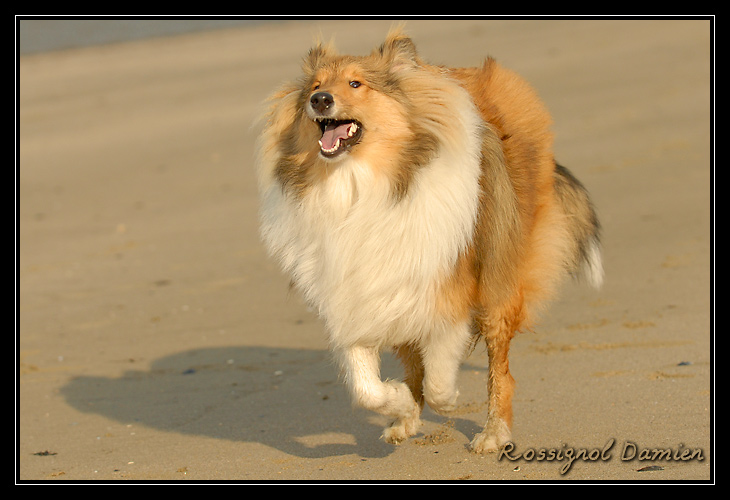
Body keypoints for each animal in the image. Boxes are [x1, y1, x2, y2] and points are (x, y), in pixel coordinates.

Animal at [253, 28, 600, 454]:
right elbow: (367, 387)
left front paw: (448, 401)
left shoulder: (449, 290)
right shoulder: (355, 294)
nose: (320, 101)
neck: (358, 188)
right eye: (315, 86)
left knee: (500, 369)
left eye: (356, 84)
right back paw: (406, 419)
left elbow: (438, 379)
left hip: (497, 278)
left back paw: (493, 433)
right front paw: (400, 403)